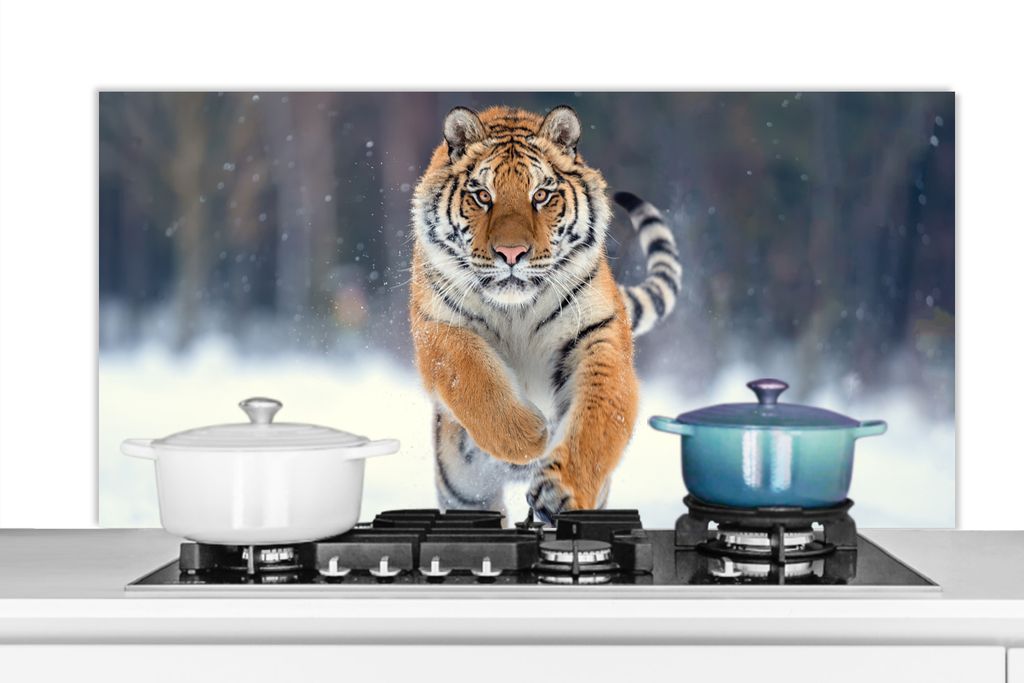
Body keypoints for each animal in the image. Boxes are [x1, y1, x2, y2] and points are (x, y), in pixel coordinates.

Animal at [409, 104, 682, 523]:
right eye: (482, 196)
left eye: (540, 195)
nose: (511, 253)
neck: (516, 308)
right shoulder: (437, 328)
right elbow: (472, 378)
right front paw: (529, 436)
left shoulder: (597, 335)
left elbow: (597, 418)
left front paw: (561, 489)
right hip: (463, 491)